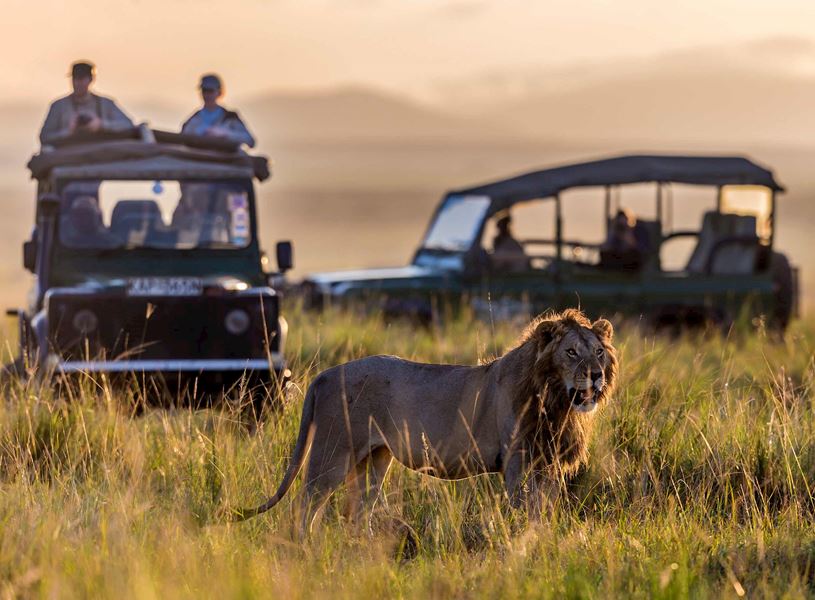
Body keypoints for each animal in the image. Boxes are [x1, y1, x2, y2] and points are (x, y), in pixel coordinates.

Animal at [234, 309, 618, 532]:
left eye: (598, 352)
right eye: (571, 352)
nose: (596, 376)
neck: (556, 401)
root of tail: (325, 375)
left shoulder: (548, 463)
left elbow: (545, 512)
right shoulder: (517, 462)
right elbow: (524, 512)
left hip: (373, 460)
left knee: (357, 513)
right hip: (331, 455)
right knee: (303, 509)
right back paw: (306, 554)